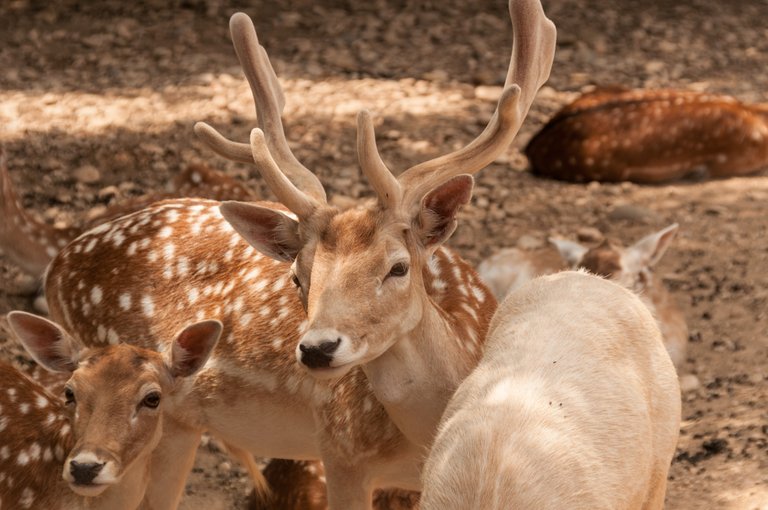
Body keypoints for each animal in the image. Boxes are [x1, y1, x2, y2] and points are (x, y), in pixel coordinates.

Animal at [39, 1, 556, 508]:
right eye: (297, 276)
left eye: (399, 267)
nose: (317, 348)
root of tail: (57, 265)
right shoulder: (341, 452)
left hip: (178, 426)